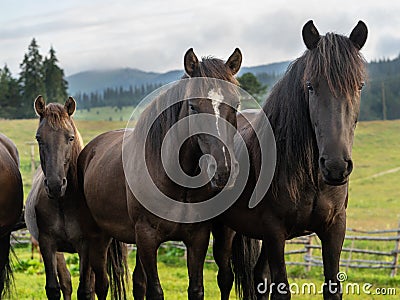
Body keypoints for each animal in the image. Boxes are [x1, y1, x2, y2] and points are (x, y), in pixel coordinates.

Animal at [76, 48, 242, 298]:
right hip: (96, 236)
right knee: (98, 283)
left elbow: (195, 289)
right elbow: (155, 291)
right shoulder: (147, 237)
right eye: (192, 106)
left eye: (236, 104)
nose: (223, 169)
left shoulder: (197, 237)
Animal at [219, 19, 368, 298]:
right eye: (310, 86)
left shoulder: (334, 229)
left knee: (258, 276)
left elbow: (332, 287)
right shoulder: (275, 231)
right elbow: (281, 289)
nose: (335, 167)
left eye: (359, 86)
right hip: (224, 228)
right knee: (225, 277)